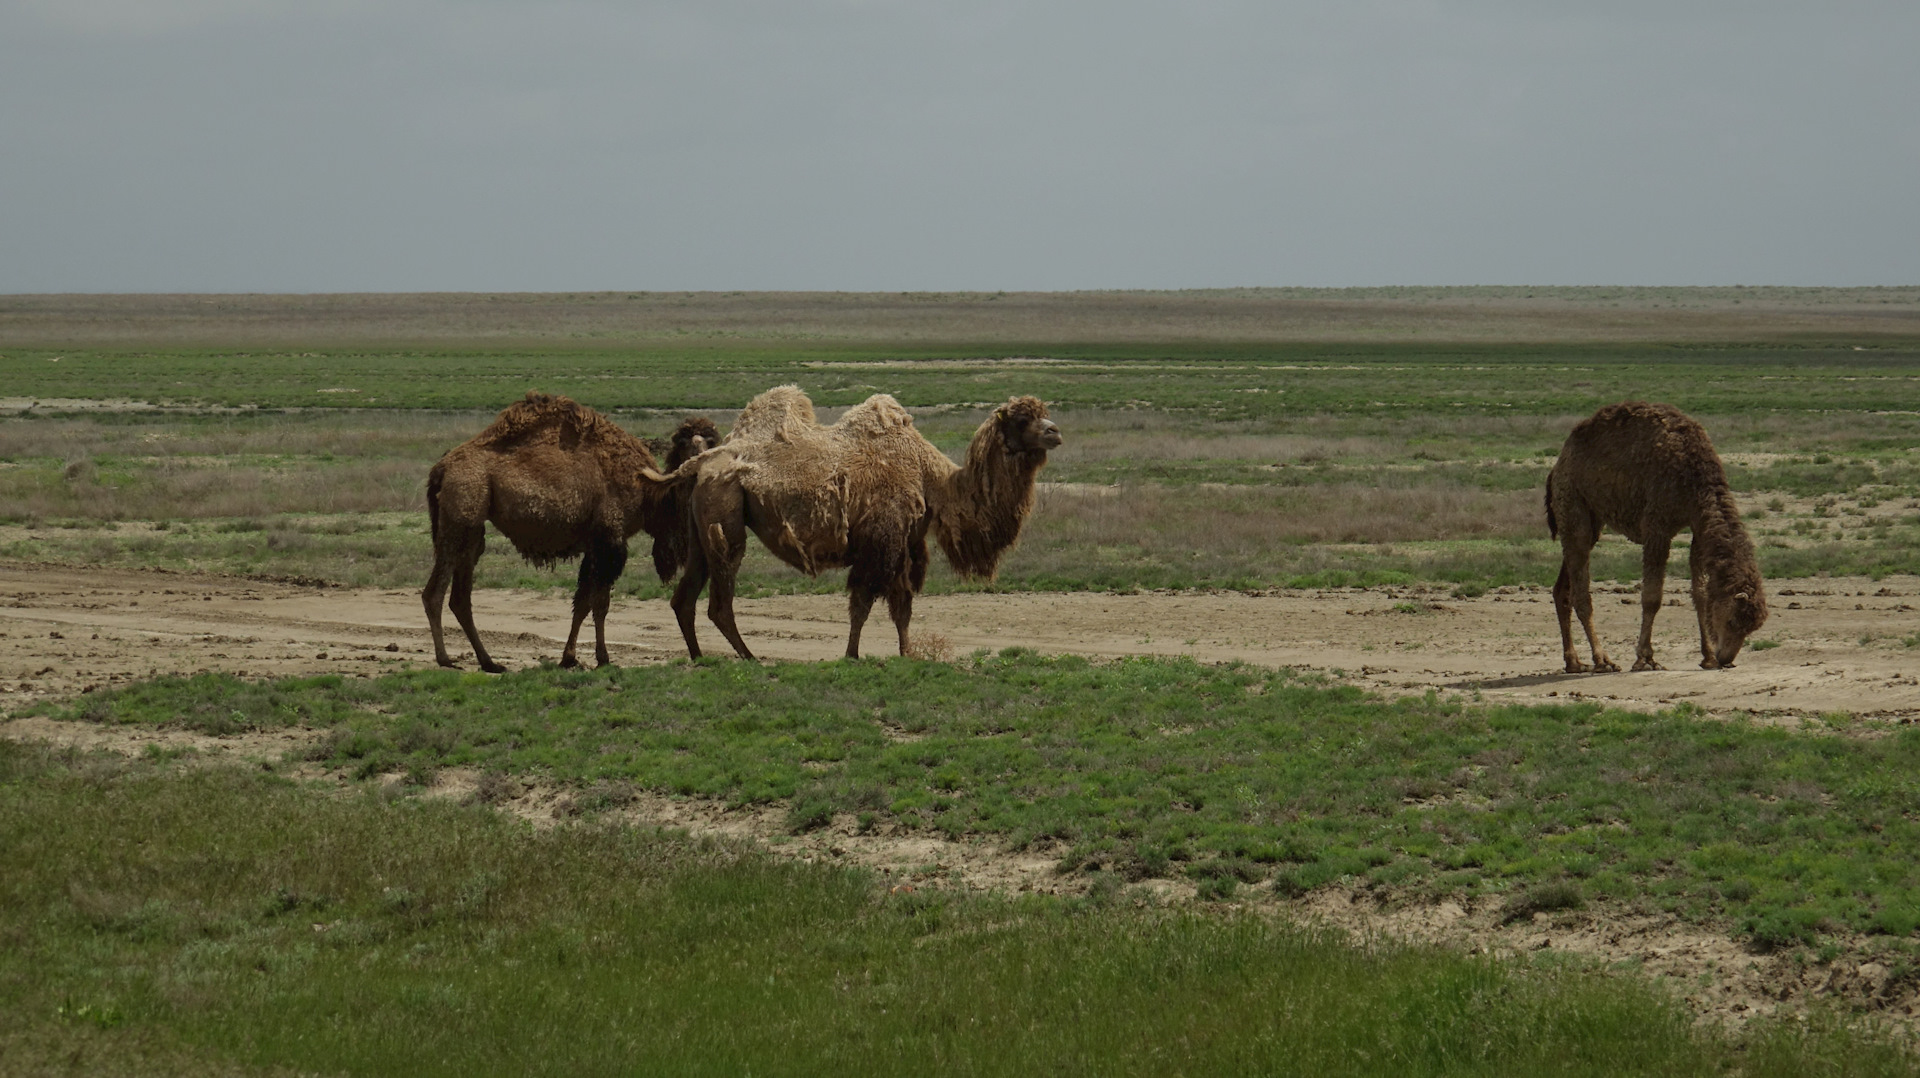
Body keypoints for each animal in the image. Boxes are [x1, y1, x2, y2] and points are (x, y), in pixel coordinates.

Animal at [422, 390, 721, 668]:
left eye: (712, 439)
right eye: (683, 442)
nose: (701, 456)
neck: (647, 491)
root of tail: (441, 467)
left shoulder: (593, 543)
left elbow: (582, 603)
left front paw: (569, 658)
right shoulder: (609, 538)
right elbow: (600, 603)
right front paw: (603, 658)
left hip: (473, 531)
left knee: (460, 598)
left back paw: (489, 662)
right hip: (460, 516)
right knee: (434, 592)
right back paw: (445, 658)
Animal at [672, 384, 1067, 657]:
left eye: (1044, 413)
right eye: (1022, 420)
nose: (1055, 432)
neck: (932, 479)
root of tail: (702, 462)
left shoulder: (907, 544)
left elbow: (903, 607)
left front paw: (907, 654)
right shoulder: (881, 539)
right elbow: (862, 604)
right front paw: (851, 655)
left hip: (701, 527)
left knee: (684, 597)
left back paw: (699, 657)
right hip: (724, 514)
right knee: (720, 601)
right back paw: (750, 657)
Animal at [1543, 401, 1766, 672]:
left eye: (1751, 628)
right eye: (1733, 621)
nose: (1727, 659)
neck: (1694, 477)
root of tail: (1556, 468)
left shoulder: (1697, 524)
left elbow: (1700, 592)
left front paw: (1708, 657)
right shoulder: (1657, 524)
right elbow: (1652, 597)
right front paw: (1645, 658)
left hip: (1590, 517)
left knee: (1563, 588)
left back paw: (1575, 662)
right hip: (1572, 500)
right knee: (1581, 587)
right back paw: (1603, 660)